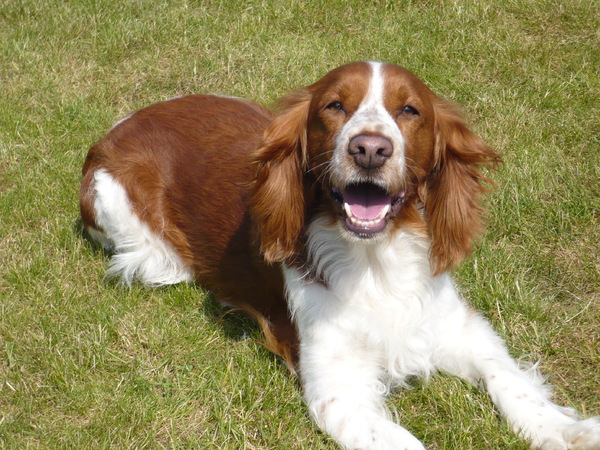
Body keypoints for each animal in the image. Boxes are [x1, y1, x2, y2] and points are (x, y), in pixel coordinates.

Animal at [81, 61, 600, 448]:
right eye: (335, 105)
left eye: (409, 110)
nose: (370, 148)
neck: (375, 261)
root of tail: (117, 129)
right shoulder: (338, 389)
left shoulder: (456, 326)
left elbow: (509, 379)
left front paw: (567, 430)